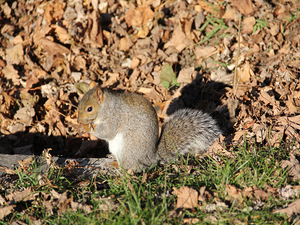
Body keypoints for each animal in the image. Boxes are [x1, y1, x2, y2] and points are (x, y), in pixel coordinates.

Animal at [77, 81, 220, 171]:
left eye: (89, 109)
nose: (78, 120)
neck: (107, 107)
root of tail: (152, 158)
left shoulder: (114, 118)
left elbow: (107, 132)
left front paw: (86, 127)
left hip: (127, 150)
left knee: (129, 167)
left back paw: (116, 165)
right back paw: (112, 158)